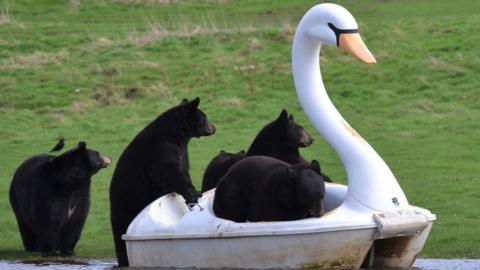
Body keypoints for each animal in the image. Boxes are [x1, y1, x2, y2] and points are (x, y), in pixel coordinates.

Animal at [110, 97, 216, 266]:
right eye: (204, 117)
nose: (214, 128)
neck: (176, 135)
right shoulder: (160, 150)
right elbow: (168, 172)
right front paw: (193, 194)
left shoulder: (182, 152)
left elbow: (184, 169)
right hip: (125, 205)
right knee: (120, 236)